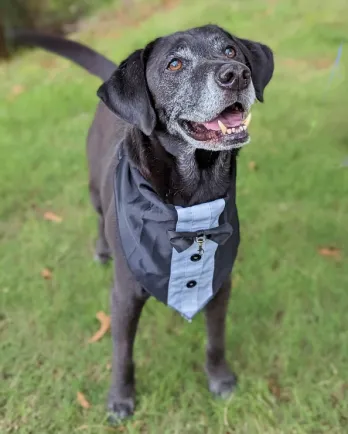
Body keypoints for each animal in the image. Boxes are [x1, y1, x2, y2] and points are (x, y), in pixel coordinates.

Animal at [12, 26, 274, 420]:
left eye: (230, 50)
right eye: (175, 64)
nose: (236, 74)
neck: (190, 202)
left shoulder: (218, 284)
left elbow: (215, 340)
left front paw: (220, 379)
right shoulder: (123, 296)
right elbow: (122, 354)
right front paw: (120, 398)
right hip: (95, 192)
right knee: (98, 218)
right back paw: (101, 250)